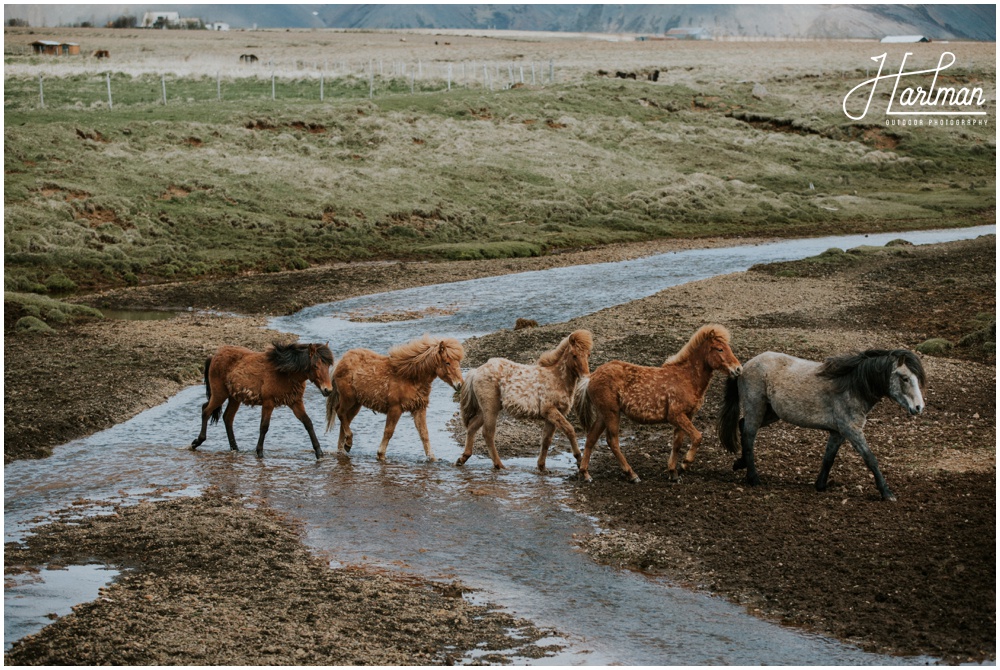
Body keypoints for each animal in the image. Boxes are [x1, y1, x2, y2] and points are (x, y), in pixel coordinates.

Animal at [191, 344, 336, 460]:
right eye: (315, 365)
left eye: (328, 365)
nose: (328, 390)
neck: (284, 372)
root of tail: (214, 356)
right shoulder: (268, 403)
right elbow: (264, 426)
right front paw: (259, 452)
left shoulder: (295, 403)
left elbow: (308, 423)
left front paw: (319, 452)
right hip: (219, 394)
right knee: (206, 411)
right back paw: (197, 441)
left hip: (234, 398)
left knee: (227, 418)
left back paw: (235, 448)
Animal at [326, 336, 466, 462]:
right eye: (447, 362)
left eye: (458, 362)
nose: (460, 384)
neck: (410, 377)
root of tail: (340, 362)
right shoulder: (395, 409)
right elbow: (389, 431)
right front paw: (381, 454)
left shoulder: (419, 409)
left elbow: (424, 434)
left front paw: (432, 458)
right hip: (348, 399)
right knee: (340, 413)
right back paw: (348, 443)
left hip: (356, 404)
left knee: (345, 421)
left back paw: (344, 448)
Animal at [460, 330, 592, 472]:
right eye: (574, 355)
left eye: (588, 355)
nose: (586, 376)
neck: (556, 377)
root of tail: (476, 371)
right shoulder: (549, 410)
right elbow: (570, 430)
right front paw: (579, 459)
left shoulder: (552, 415)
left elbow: (546, 439)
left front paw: (542, 467)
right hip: (490, 408)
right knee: (488, 433)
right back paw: (499, 465)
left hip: (486, 409)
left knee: (472, 427)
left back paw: (463, 458)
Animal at [572, 324, 744, 484]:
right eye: (720, 349)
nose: (738, 369)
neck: (686, 378)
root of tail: (591, 377)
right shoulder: (676, 415)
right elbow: (697, 437)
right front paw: (684, 464)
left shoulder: (686, 416)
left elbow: (677, 443)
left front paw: (673, 472)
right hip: (611, 413)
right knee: (612, 441)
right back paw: (632, 475)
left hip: (603, 414)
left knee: (591, 438)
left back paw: (585, 474)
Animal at [720, 350, 920, 502]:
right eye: (904, 378)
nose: (919, 407)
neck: (852, 386)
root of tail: (745, 366)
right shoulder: (852, 430)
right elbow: (870, 459)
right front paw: (887, 493)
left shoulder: (838, 433)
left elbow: (828, 458)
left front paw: (820, 485)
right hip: (756, 408)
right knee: (749, 436)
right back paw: (753, 478)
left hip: (771, 413)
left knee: (742, 425)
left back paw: (739, 464)